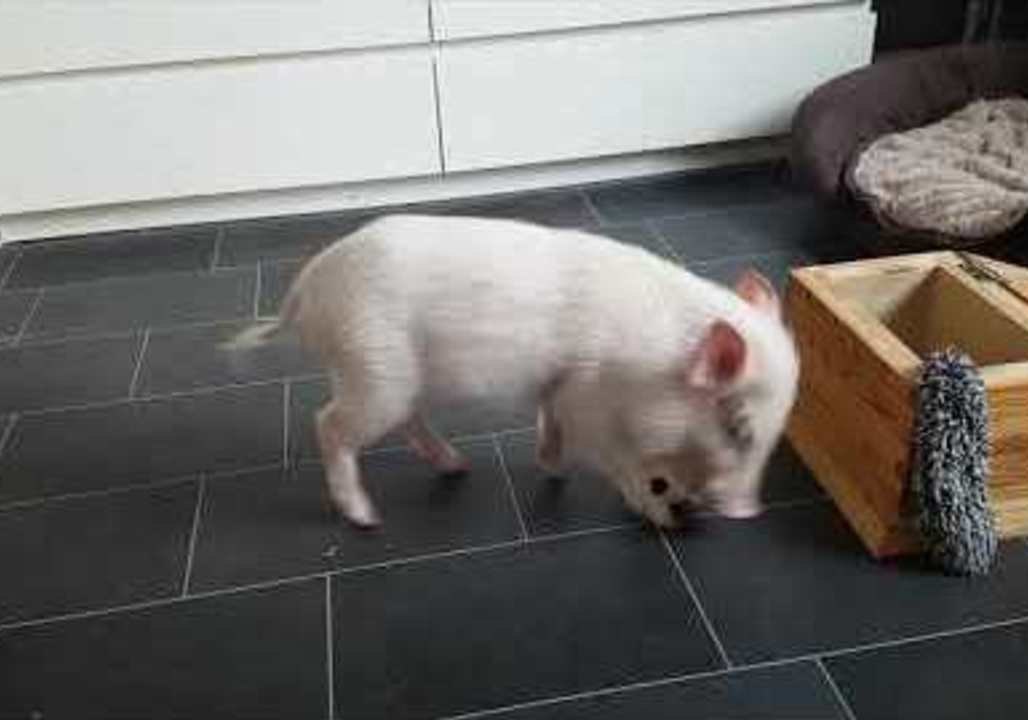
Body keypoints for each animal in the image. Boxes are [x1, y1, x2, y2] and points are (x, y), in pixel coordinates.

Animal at [227, 214, 799, 530]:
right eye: (738, 426)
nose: (750, 514)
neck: (653, 370)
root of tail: (305, 290)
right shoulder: (590, 403)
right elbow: (619, 462)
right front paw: (658, 516)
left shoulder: (559, 389)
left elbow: (551, 426)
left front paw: (552, 467)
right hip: (374, 372)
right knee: (327, 423)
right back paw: (367, 519)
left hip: (393, 379)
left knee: (408, 422)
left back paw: (456, 467)